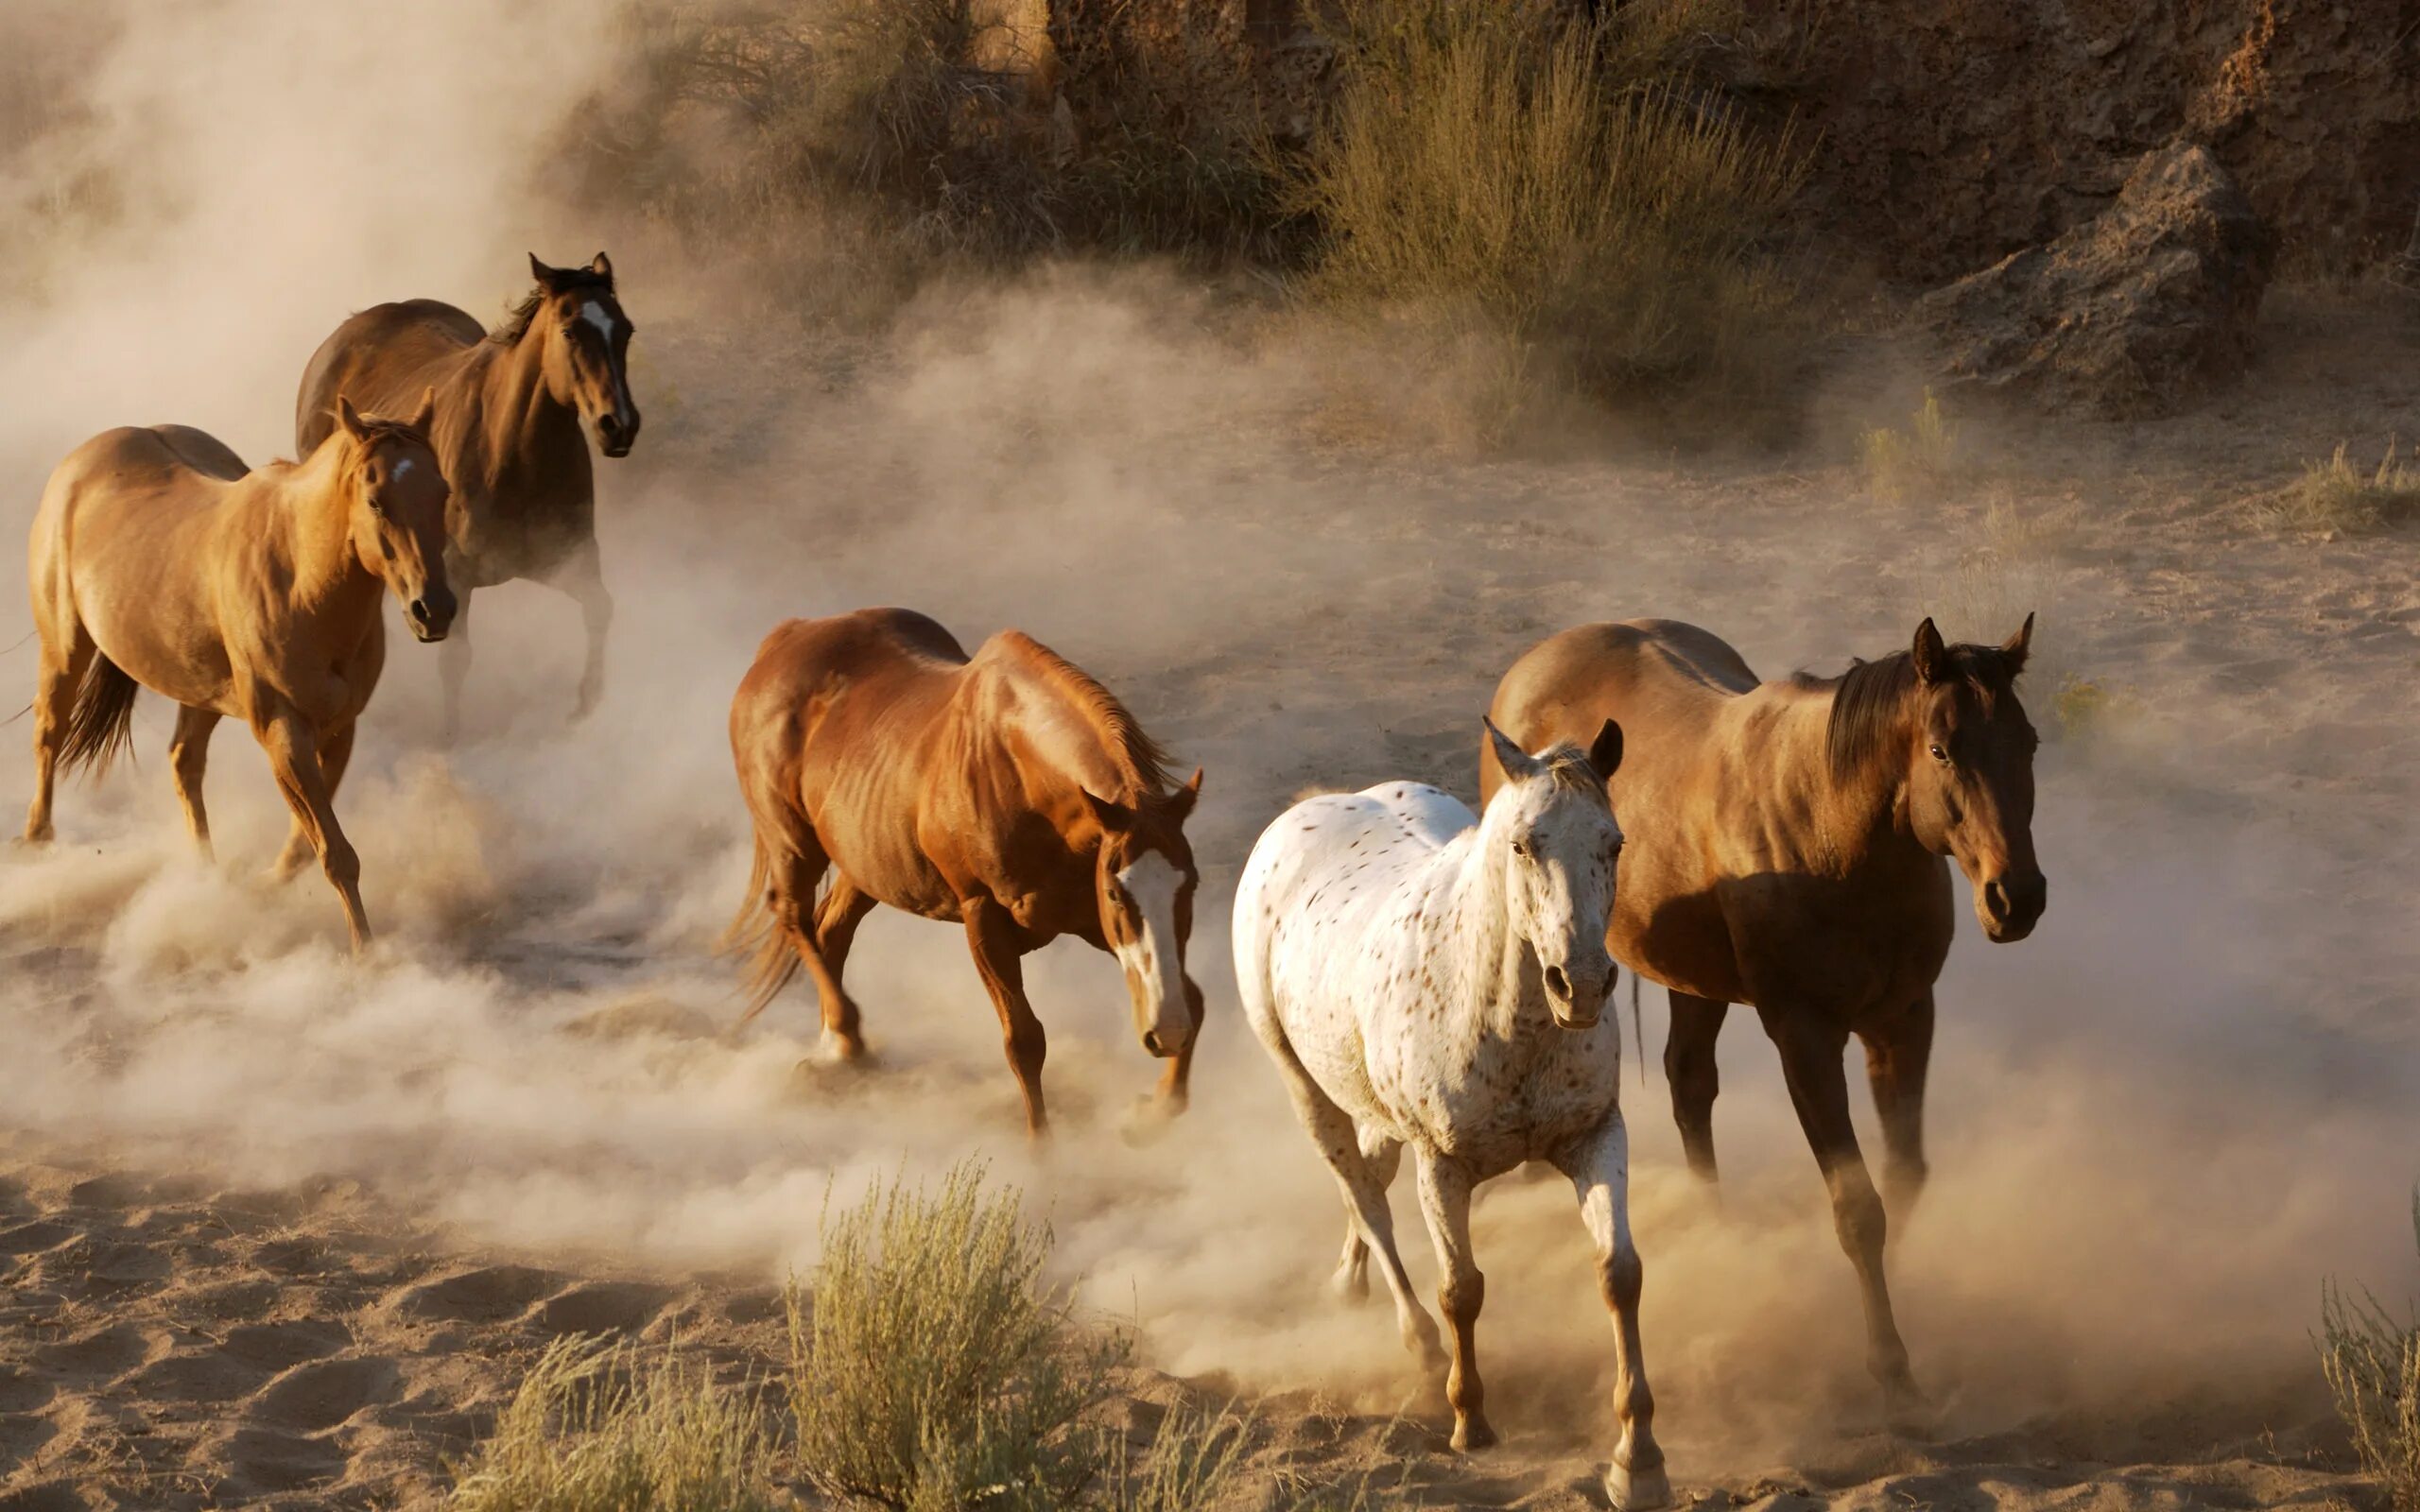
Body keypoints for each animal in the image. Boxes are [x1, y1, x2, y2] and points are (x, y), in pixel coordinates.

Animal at [25, 394, 457, 948]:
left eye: (442, 492)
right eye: (377, 500)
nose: (434, 610)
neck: (301, 581)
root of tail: (81, 461)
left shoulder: (339, 729)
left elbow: (308, 849)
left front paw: (264, 886)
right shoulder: (282, 731)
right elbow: (336, 854)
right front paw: (366, 953)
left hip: (199, 689)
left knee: (183, 762)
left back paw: (206, 877)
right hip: (64, 648)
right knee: (50, 733)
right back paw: (37, 844)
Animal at [294, 251, 643, 735]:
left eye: (625, 329)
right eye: (570, 332)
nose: (619, 425)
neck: (511, 451)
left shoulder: (569, 559)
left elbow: (599, 608)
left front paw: (586, 705)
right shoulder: (451, 577)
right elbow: (455, 660)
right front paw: (451, 735)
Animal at [716, 602, 1210, 1132]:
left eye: (1191, 887)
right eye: (1118, 892)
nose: (1166, 1032)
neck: (1019, 775)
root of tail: (785, 639)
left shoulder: (1088, 920)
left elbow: (1193, 999)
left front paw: (1152, 1114)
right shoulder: (985, 918)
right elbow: (1024, 1041)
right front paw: (1043, 1148)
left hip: (863, 864)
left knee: (831, 930)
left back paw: (836, 1050)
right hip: (793, 842)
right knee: (793, 916)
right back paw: (846, 1040)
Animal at [1229, 720, 1665, 1509]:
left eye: (1613, 843)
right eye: (1524, 844)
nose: (1581, 984)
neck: (1504, 1018)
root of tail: (1312, 807)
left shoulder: (1595, 1138)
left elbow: (1619, 1274)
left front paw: (1638, 1458)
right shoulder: (1444, 1165)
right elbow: (1461, 1289)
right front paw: (1471, 1422)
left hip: (1372, 1107)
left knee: (1369, 1179)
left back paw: (1349, 1282)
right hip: (1304, 1087)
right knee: (1365, 1197)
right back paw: (1419, 1345)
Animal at [1471, 610, 2042, 1413]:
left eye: (2029, 743)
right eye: (1941, 749)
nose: (2016, 898)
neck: (1836, 834)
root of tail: (1534, 665)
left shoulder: (1903, 1021)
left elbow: (1904, 1178)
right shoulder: (1805, 1039)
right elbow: (1858, 1207)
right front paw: (1889, 1363)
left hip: (1693, 979)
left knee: (1689, 1085)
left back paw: (1719, 1230)